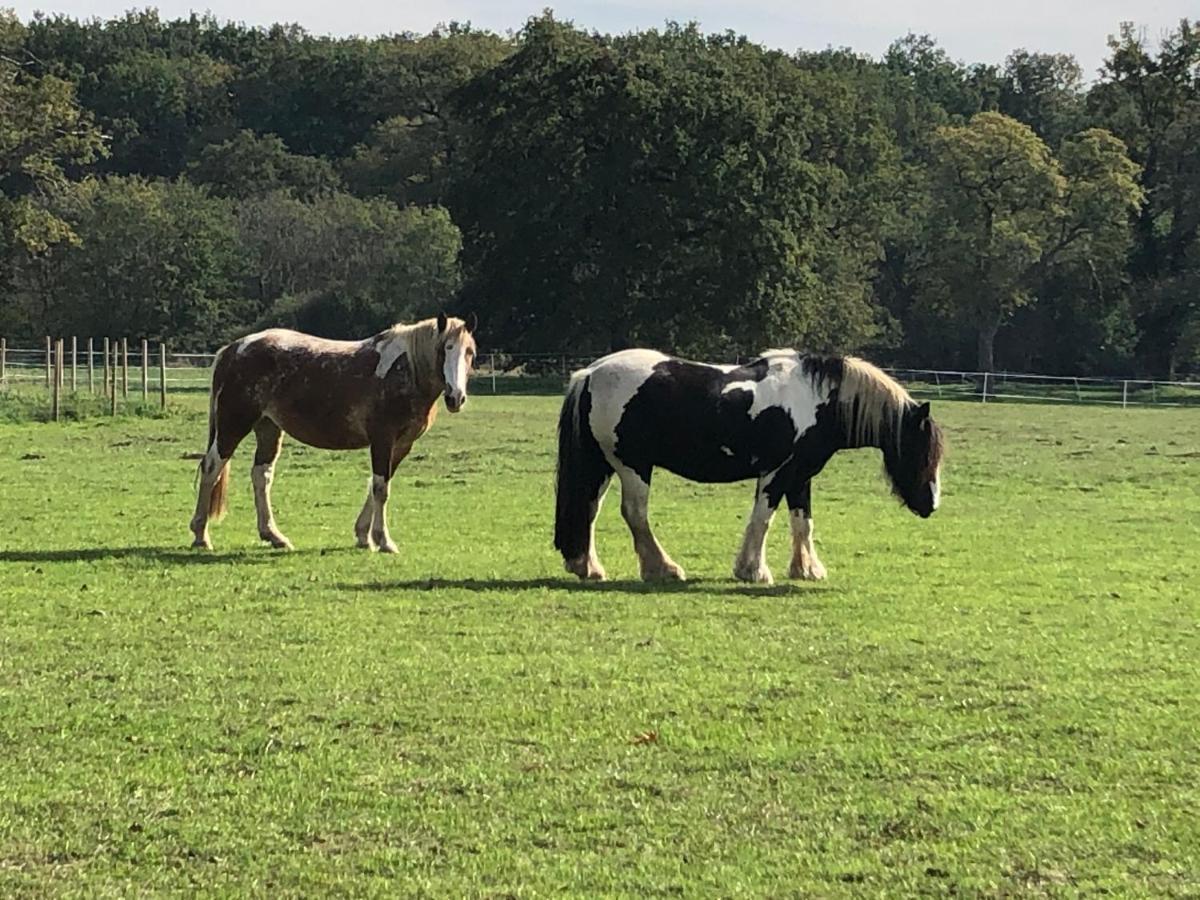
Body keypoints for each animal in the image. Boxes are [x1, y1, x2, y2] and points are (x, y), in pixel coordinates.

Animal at [189, 316, 475, 556]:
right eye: (445, 349)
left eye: (469, 352)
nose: (456, 397)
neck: (404, 370)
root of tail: (233, 349)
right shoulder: (383, 439)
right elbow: (381, 489)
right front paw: (383, 540)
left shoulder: (402, 445)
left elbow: (377, 485)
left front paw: (363, 536)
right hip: (233, 425)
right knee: (211, 468)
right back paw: (201, 535)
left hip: (268, 428)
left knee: (261, 476)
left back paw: (274, 536)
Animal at [554, 348, 945, 588]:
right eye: (922, 453)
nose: (932, 504)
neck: (816, 400)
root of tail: (591, 373)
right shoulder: (776, 473)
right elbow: (763, 519)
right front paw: (753, 571)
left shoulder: (800, 476)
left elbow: (803, 523)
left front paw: (807, 569)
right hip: (633, 466)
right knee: (635, 514)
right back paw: (663, 569)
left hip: (605, 465)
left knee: (589, 511)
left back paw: (588, 567)